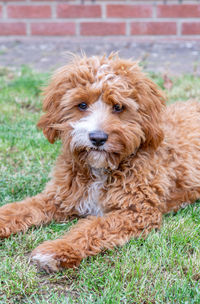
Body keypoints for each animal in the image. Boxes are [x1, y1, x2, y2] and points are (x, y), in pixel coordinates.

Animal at [0, 54, 200, 274]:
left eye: (118, 107)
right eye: (82, 105)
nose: (97, 138)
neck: (101, 169)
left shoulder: (138, 212)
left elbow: (93, 228)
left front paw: (57, 250)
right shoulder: (61, 196)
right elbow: (20, 208)